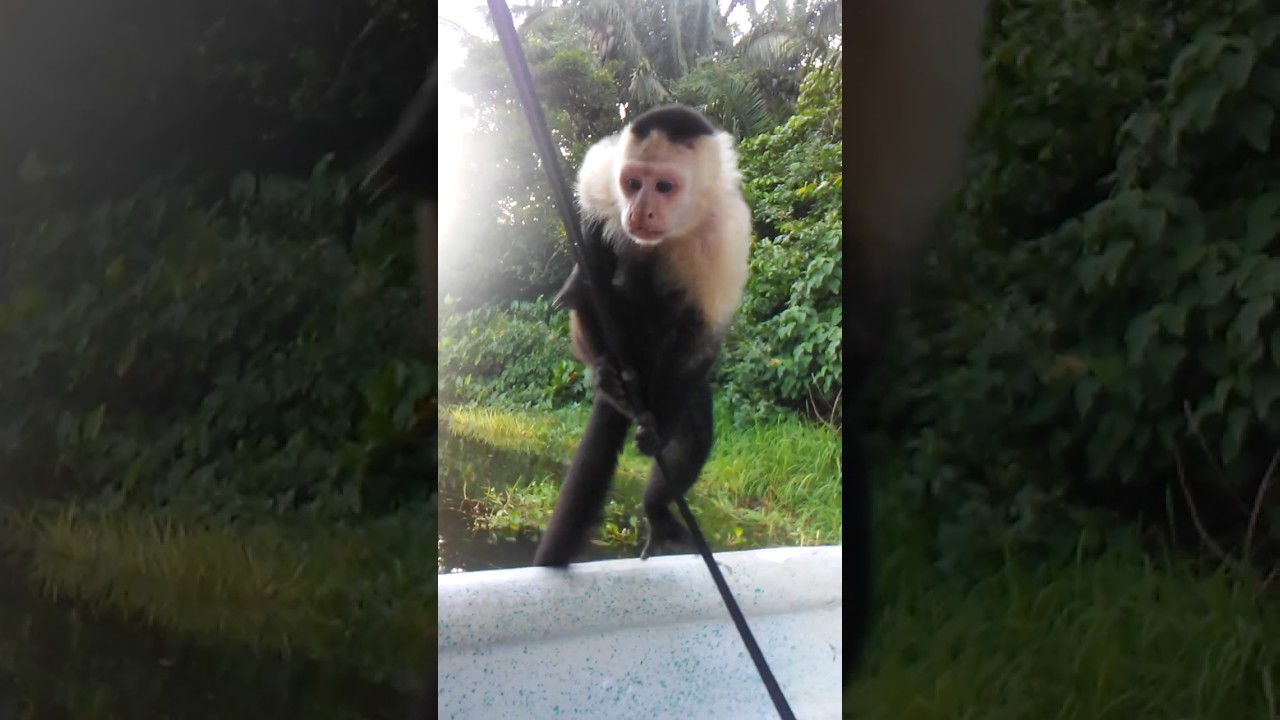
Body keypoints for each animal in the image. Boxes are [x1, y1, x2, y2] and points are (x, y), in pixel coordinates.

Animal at [532, 104, 752, 568]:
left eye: (664, 187)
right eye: (632, 183)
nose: (638, 212)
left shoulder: (728, 232)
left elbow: (703, 335)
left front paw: (660, 433)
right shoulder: (603, 178)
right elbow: (589, 230)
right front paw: (582, 276)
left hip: (663, 385)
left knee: (693, 434)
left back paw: (658, 510)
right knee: (601, 289)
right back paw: (607, 374)